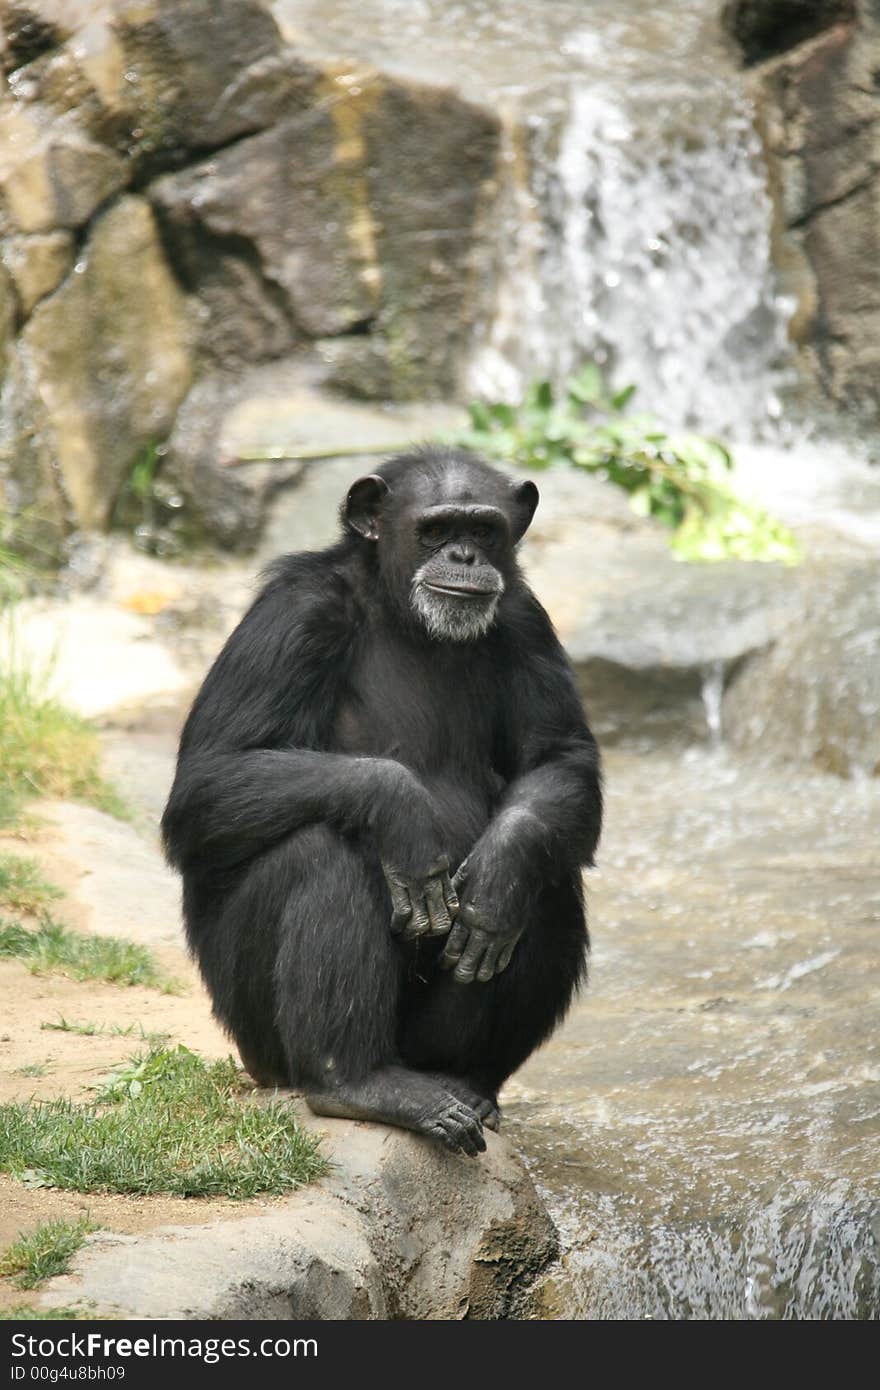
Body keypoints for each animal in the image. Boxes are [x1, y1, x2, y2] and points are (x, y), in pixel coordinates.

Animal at [161, 450, 600, 1156]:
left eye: (484, 530)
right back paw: (357, 1083)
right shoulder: (293, 615)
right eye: (435, 529)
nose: (464, 556)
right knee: (322, 853)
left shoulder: (528, 620)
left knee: (551, 883)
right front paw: (402, 812)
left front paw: (499, 874)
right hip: (255, 1039)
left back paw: (465, 1083)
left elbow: (558, 758)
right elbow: (209, 778)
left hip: (422, 1043)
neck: (405, 617)